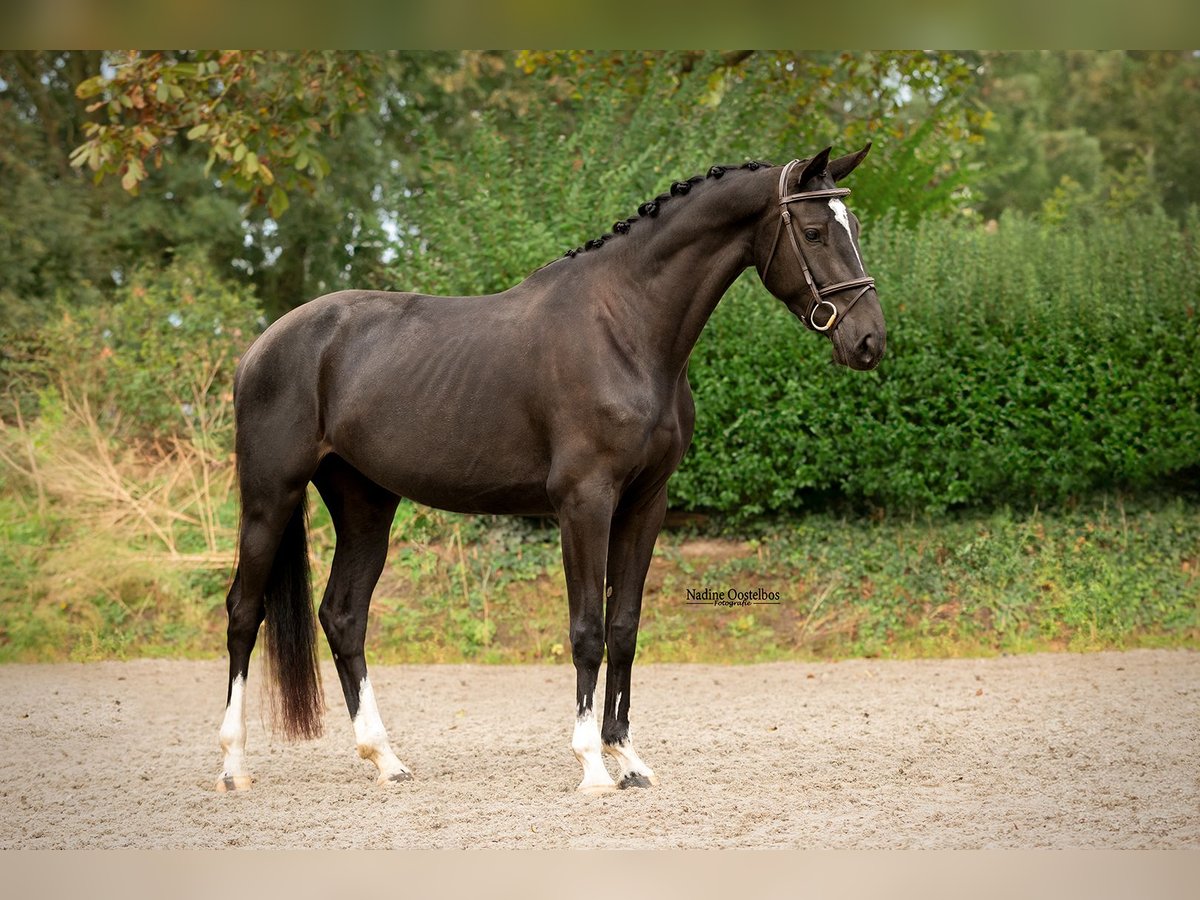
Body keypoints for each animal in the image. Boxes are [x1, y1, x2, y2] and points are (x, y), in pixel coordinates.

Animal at [216, 146, 888, 796]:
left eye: (855, 225)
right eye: (814, 231)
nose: (869, 341)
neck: (625, 328)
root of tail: (262, 346)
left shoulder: (646, 503)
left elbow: (623, 627)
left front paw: (628, 759)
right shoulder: (584, 503)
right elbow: (587, 628)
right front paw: (592, 765)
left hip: (365, 504)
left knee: (343, 617)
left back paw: (386, 761)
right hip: (270, 497)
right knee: (244, 613)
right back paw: (234, 767)